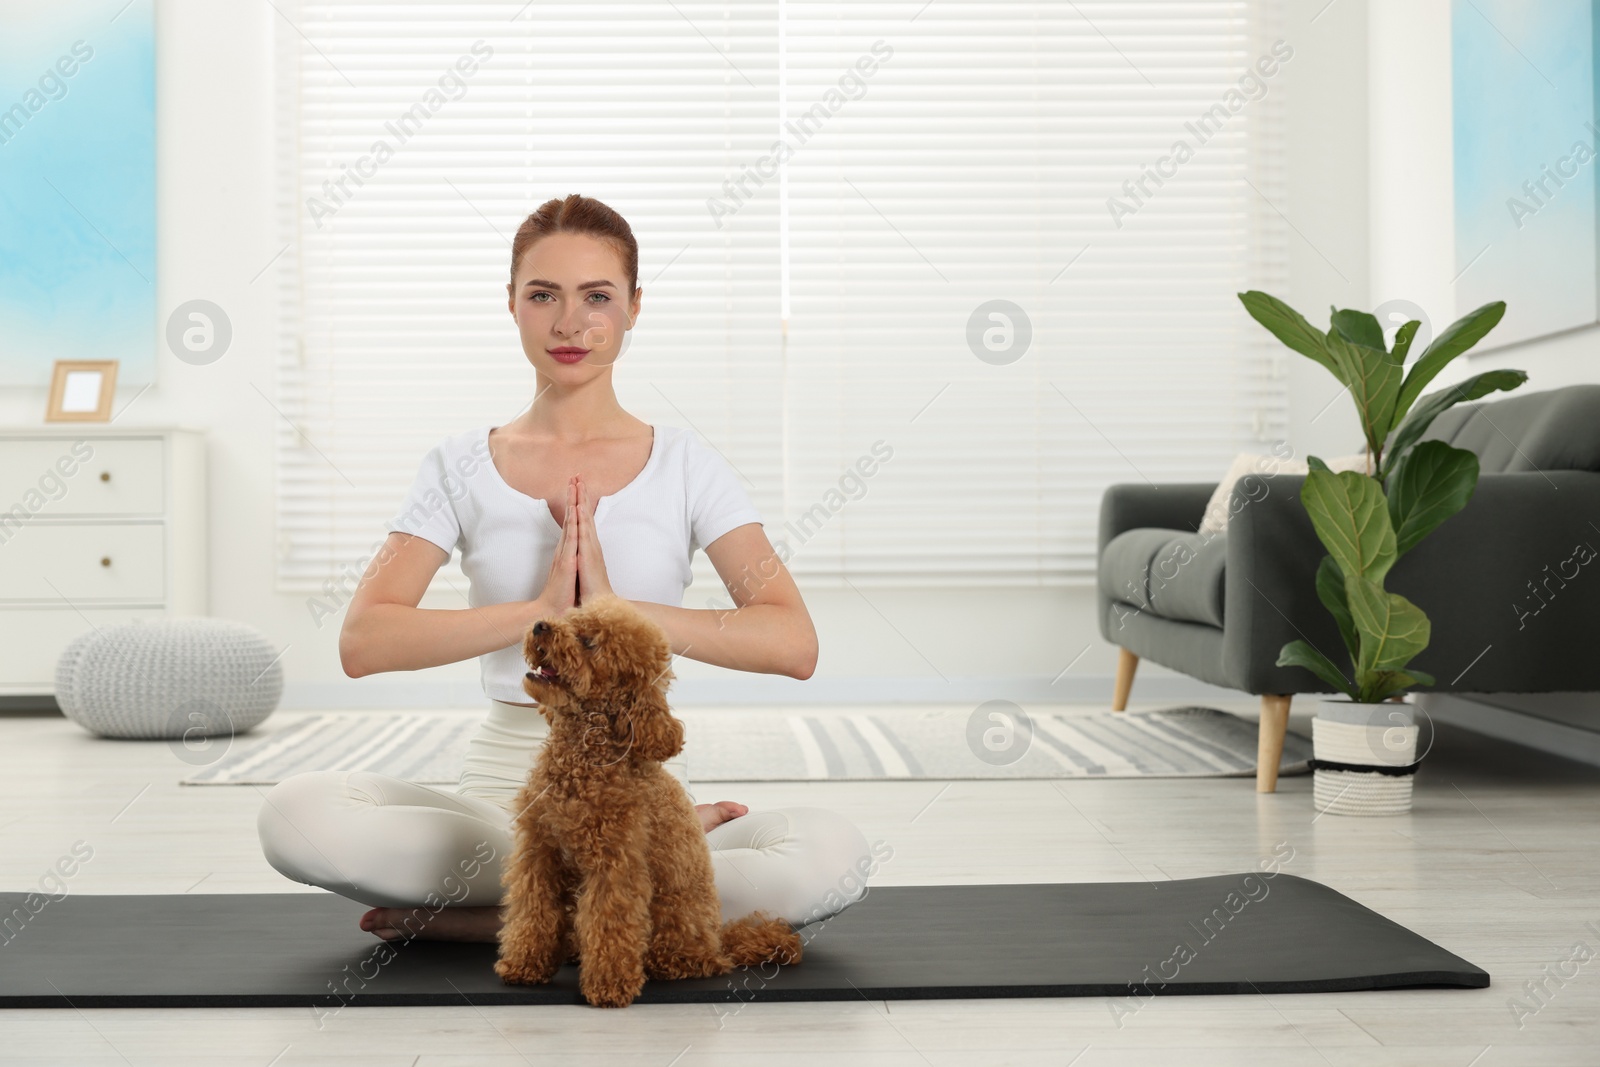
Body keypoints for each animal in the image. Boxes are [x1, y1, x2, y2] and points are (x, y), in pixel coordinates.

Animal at [492, 591, 800, 1011]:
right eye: (571, 619)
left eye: (589, 642)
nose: (541, 625)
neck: (581, 760)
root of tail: (718, 942)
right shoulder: (539, 852)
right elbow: (531, 912)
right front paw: (524, 966)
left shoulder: (616, 864)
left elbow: (610, 924)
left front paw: (609, 986)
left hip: (673, 928)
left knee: (682, 960)